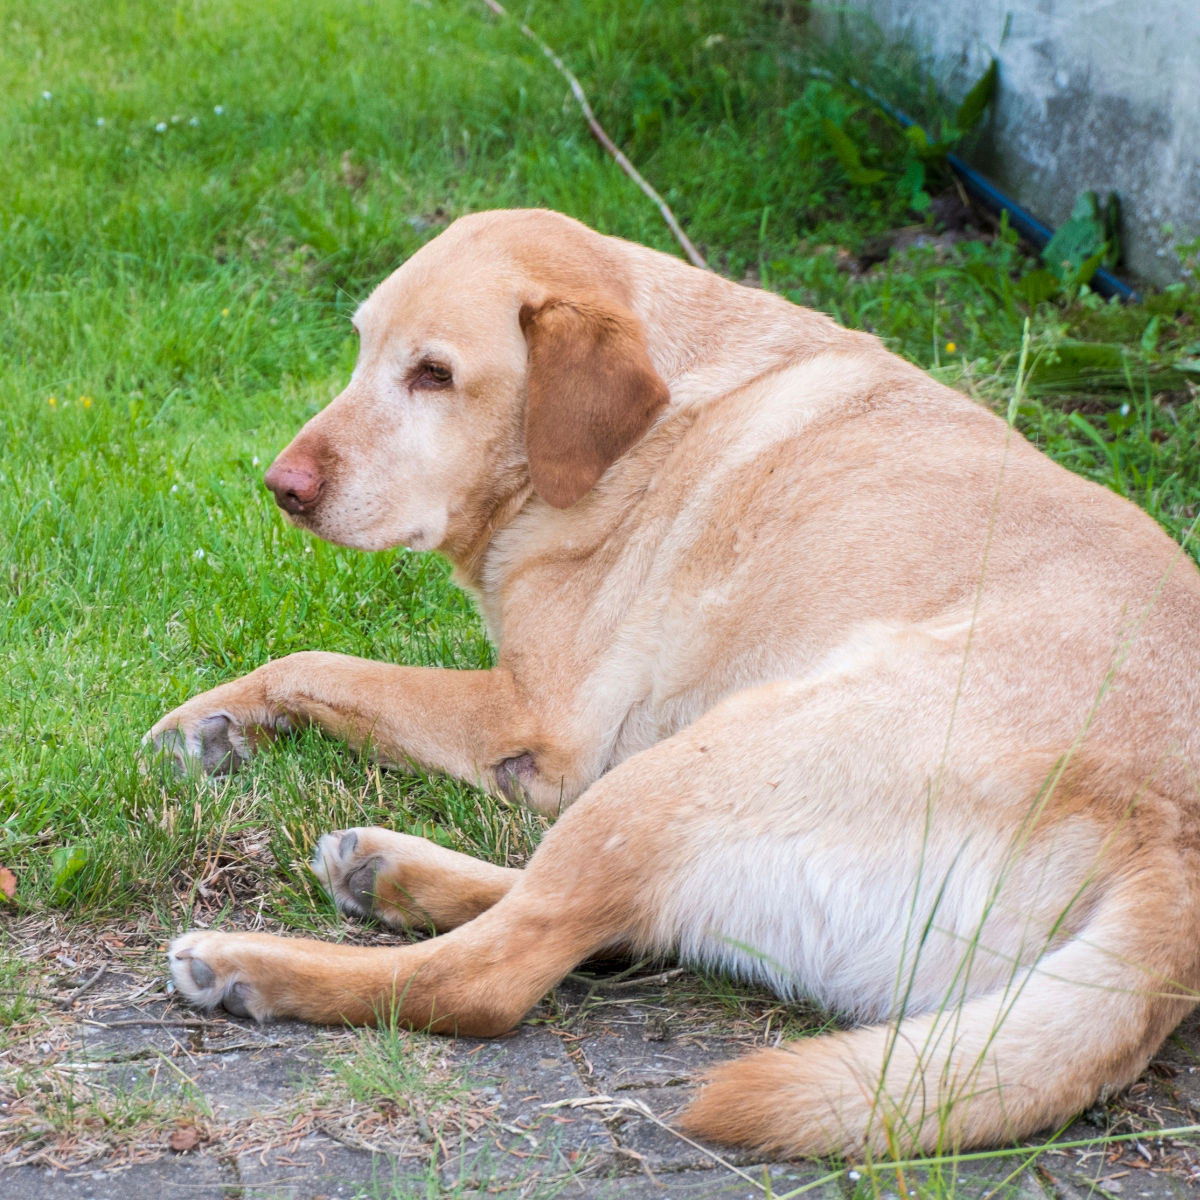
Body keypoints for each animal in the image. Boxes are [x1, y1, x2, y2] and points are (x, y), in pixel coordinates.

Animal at [150, 211, 1200, 1156]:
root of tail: (1168, 857)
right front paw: (221, 725)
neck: (650, 422)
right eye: (363, 350)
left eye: (434, 374)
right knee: (610, 921)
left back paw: (250, 962)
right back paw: (390, 870)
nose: (282, 487)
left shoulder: (533, 721)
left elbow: (318, 663)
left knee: (494, 973)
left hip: (715, 750)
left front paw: (206, 717)